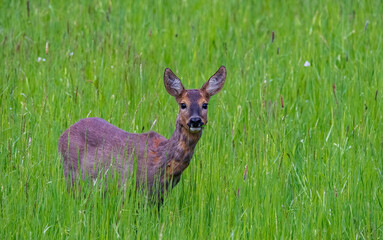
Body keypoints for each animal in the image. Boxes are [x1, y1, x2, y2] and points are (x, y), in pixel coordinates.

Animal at [58, 65, 226, 202]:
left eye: (205, 104)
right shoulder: (127, 186)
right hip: (71, 174)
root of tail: (62, 135)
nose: (195, 120)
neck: (162, 162)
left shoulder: (160, 196)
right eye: (183, 104)